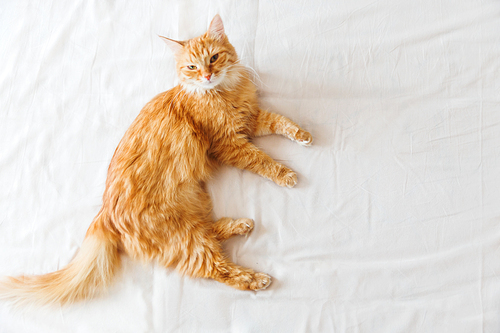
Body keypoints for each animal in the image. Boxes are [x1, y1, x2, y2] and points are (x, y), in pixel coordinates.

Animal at [0, 14, 312, 304]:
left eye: (213, 58)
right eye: (192, 67)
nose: (207, 75)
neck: (225, 92)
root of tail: (104, 213)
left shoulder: (251, 120)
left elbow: (280, 121)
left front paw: (304, 134)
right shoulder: (229, 143)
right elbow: (262, 160)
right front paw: (286, 174)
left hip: (193, 210)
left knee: (210, 231)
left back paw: (241, 224)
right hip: (186, 238)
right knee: (218, 267)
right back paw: (257, 277)